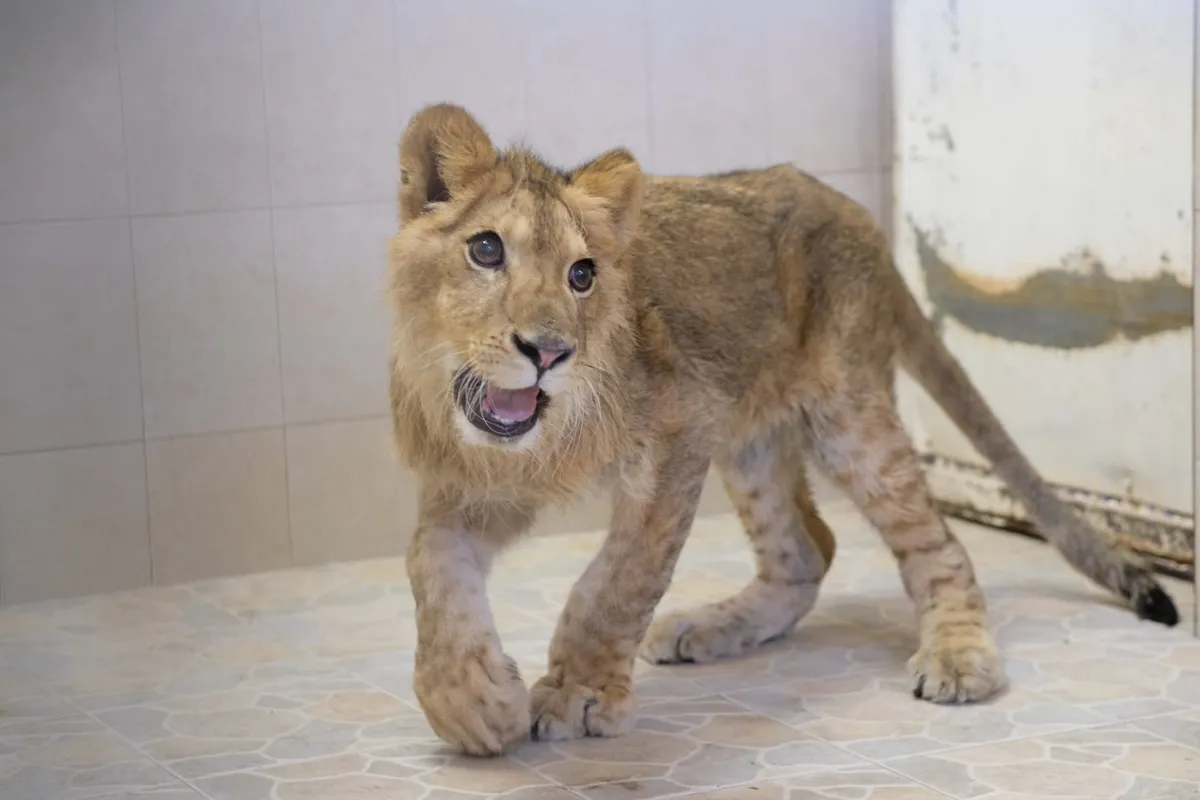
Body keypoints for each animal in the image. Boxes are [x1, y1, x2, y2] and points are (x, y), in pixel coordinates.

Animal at [386, 104, 1178, 756]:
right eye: (486, 250)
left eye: (583, 274)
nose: (548, 352)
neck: (535, 441)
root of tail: (858, 214)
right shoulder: (477, 480)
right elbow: (429, 563)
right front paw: (470, 702)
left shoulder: (681, 430)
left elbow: (616, 583)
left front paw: (578, 693)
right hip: (751, 437)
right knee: (807, 549)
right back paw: (709, 628)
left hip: (845, 414)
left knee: (939, 544)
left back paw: (958, 658)